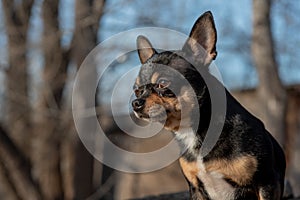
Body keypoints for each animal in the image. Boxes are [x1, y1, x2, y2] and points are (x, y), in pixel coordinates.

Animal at [131, 11, 286, 200]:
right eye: (137, 90)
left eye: (162, 83)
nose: (135, 103)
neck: (194, 131)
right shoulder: (196, 188)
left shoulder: (266, 183)